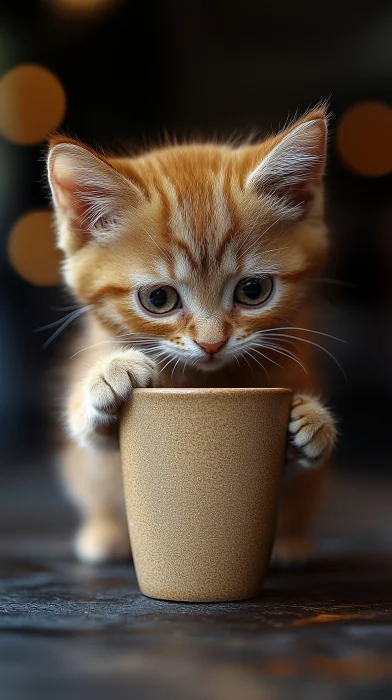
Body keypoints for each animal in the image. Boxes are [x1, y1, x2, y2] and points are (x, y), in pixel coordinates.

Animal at [47, 109, 336, 568]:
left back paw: (290, 544)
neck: (204, 381)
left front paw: (312, 421)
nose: (212, 343)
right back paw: (106, 534)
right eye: (158, 298)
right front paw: (109, 376)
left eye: (253, 290)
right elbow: (89, 434)